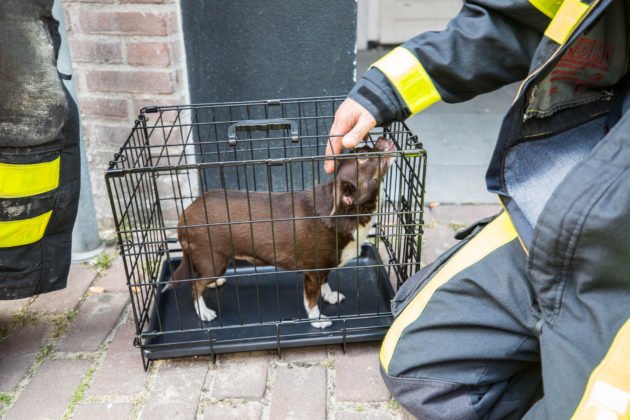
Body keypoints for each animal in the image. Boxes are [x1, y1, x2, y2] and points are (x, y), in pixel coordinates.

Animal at [174, 138, 396, 328]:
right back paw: (204, 312)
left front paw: (330, 296)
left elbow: (326, 283)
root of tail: (184, 215)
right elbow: (311, 300)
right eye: (363, 157)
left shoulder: (324, 267)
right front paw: (318, 320)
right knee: (194, 286)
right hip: (213, 260)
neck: (348, 212)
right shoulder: (312, 273)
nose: (381, 138)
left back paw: (213, 284)